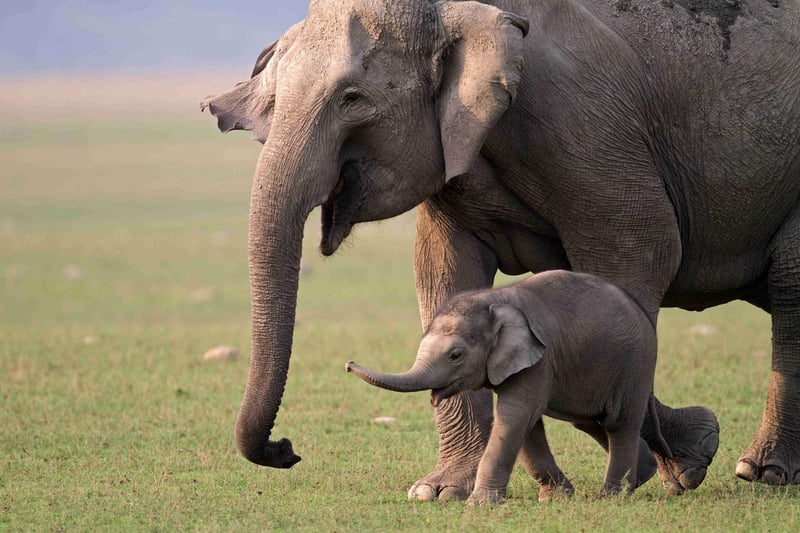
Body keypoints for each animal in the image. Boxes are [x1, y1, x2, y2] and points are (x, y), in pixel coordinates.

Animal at [346, 270, 674, 503]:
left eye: (456, 355)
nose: (348, 364)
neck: (494, 300)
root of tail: (643, 312)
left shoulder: (539, 359)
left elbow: (516, 415)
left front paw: (480, 504)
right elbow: (527, 424)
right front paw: (555, 498)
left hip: (635, 363)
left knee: (619, 423)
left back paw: (611, 497)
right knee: (590, 421)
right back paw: (642, 473)